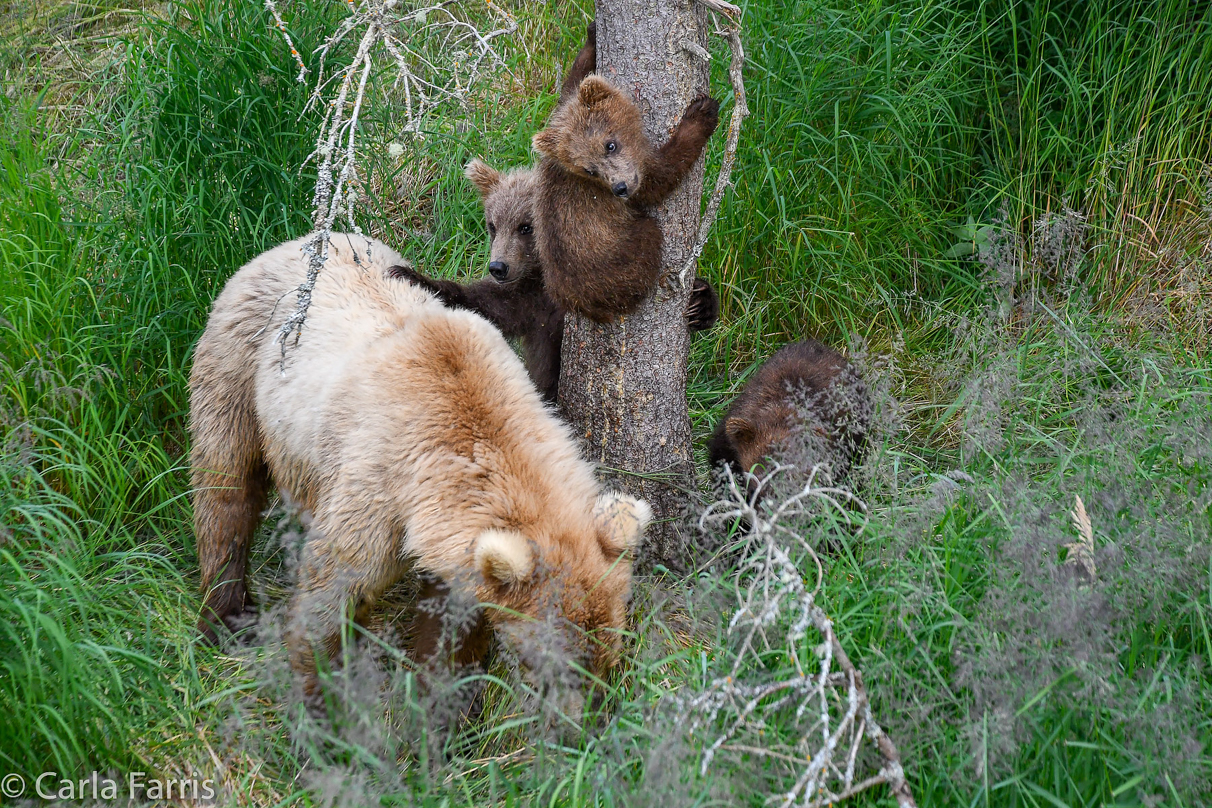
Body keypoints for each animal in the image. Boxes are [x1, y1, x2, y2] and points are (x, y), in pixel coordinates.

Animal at [189, 233, 649, 697]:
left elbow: (449, 630)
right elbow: (332, 590)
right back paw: (227, 615)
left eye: (608, 655)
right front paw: (323, 693)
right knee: (226, 485)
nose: (593, 705)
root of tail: (299, 240)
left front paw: (439, 697)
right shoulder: (377, 489)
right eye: (563, 664)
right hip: (240, 359)